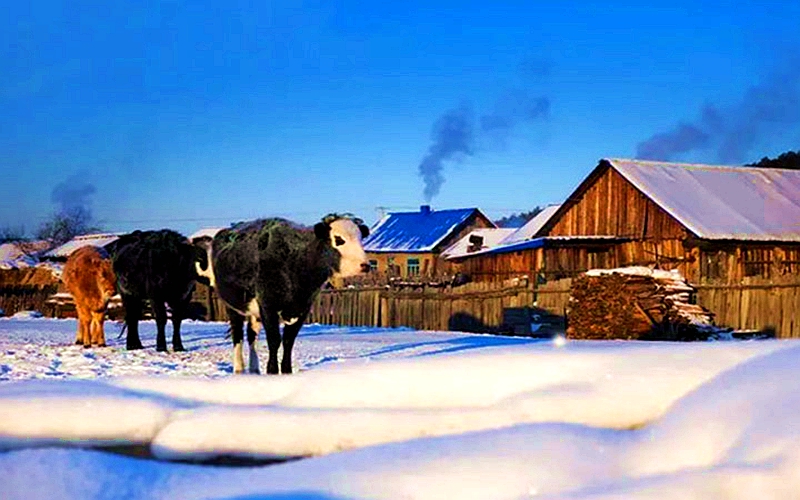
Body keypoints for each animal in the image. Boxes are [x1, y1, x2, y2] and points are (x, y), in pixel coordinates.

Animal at [203, 215, 372, 376]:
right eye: (339, 239)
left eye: (360, 239)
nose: (366, 265)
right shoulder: (268, 306)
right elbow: (274, 340)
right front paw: (272, 371)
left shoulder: (303, 308)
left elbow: (288, 341)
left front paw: (286, 372)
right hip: (232, 305)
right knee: (237, 334)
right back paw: (239, 369)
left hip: (254, 312)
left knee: (252, 335)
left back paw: (254, 368)